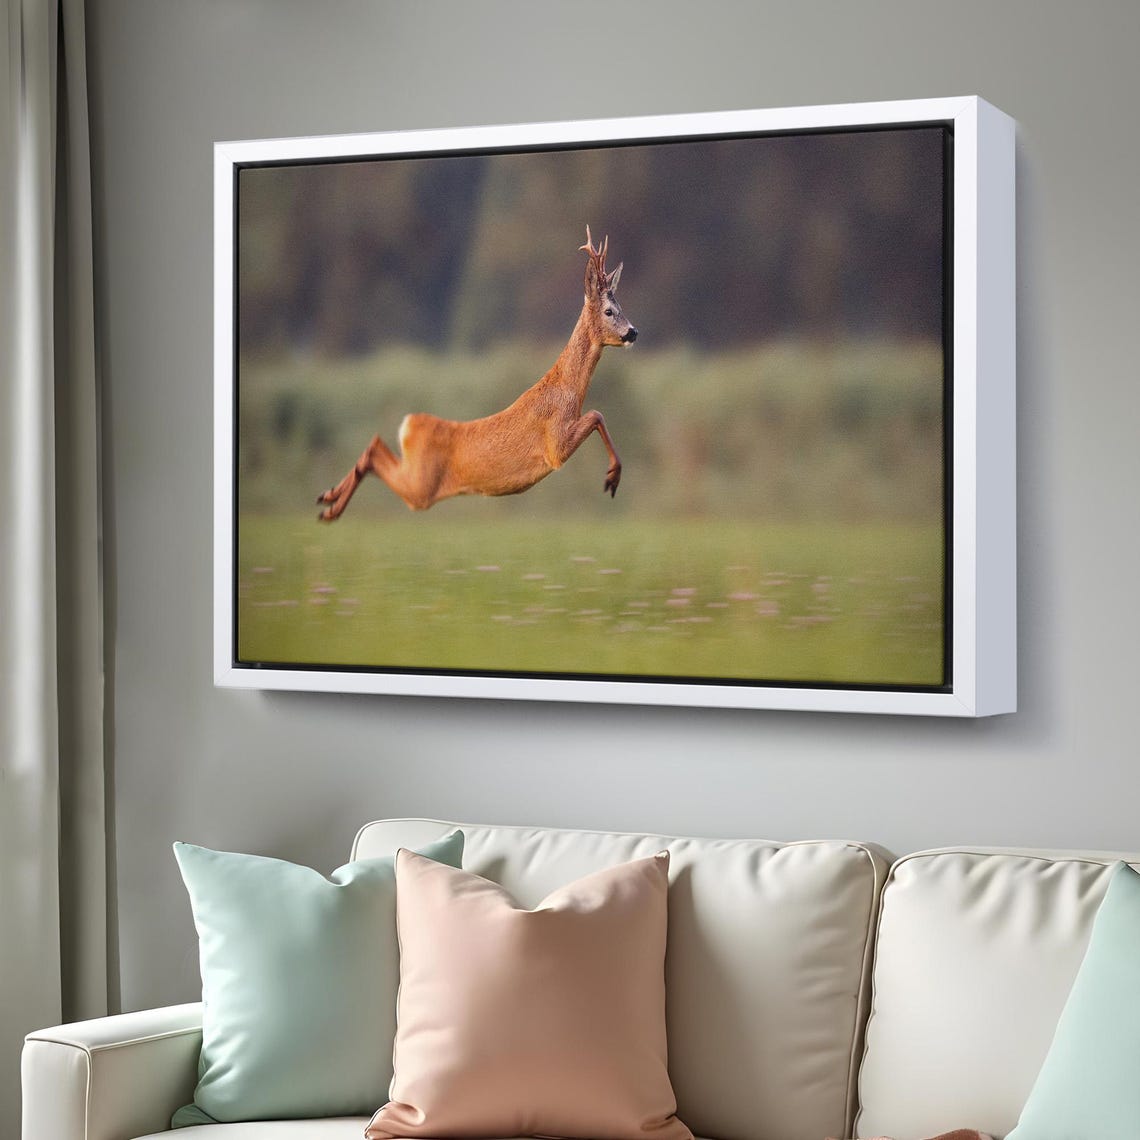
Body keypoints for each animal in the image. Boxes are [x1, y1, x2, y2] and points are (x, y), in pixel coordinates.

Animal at [316, 227, 637, 521]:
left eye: (622, 307)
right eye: (609, 311)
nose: (633, 332)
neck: (566, 389)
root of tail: (409, 425)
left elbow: (597, 415)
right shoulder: (555, 445)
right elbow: (597, 414)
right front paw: (612, 476)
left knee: (374, 447)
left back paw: (328, 500)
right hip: (421, 488)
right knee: (373, 452)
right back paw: (330, 508)